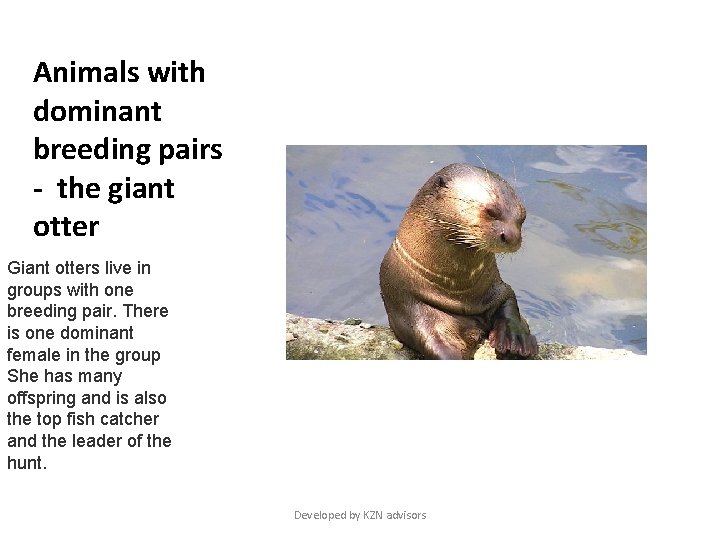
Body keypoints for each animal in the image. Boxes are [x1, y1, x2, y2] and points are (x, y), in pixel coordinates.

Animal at [379, 163, 537, 359]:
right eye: (491, 211)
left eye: (522, 217)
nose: (512, 237)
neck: (460, 292)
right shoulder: (412, 310)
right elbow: (433, 342)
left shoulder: (498, 288)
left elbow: (509, 301)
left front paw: (514, 338)